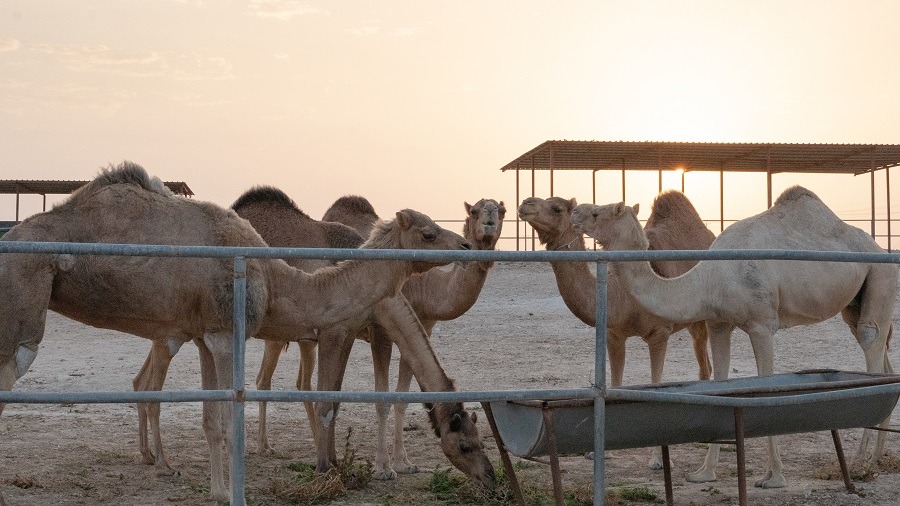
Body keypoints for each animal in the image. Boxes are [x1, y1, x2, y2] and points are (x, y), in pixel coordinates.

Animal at [0, 163, 496, 502]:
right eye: (428, 234)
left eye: (477, 438)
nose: (491, 477)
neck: (277, 280)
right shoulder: (228, 332)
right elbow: (227, 417)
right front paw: (229, 491)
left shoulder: (204, 333)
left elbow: (210, 418)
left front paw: (217, 488)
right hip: (22, 314)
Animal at [516, 194, 712, 470]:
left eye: (556, 208)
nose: (526, 203)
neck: (622, 294)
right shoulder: (613, 335)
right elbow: (614, 383)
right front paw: (599, 452)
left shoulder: (659, 334)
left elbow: (656, 385)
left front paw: (658, 459)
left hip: (702, 320)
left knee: (706, 368)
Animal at [572, 187, 896, 490]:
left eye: (600, 212)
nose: (575, 211)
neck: (708, 280)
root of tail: (881, 249)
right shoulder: (718, 323)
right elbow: (721, 385)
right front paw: (704, 473)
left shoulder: (762, 324)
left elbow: (766, 387)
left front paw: (774, 477)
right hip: (854, 303)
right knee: (879, 351)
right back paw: (876, 459)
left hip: (880, 275)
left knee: (871, 339)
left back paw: (858, 462)